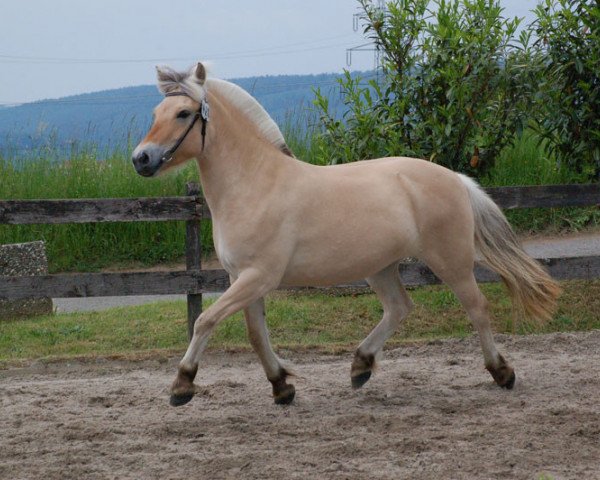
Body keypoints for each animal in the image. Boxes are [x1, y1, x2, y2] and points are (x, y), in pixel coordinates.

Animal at [132, 63, 564, 406]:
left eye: (183, 112)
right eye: (155, 112)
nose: (141, 159)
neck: (255, 183)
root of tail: (456, 179)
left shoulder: (259, 276)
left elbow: (205, 320)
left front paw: (182, 385)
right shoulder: (242, 277)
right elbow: (256, 335)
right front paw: (281, 387)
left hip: (451, 261)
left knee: (477, 308)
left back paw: (502, 372)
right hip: (381, 266)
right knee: (400, 307)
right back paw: (360, 366)